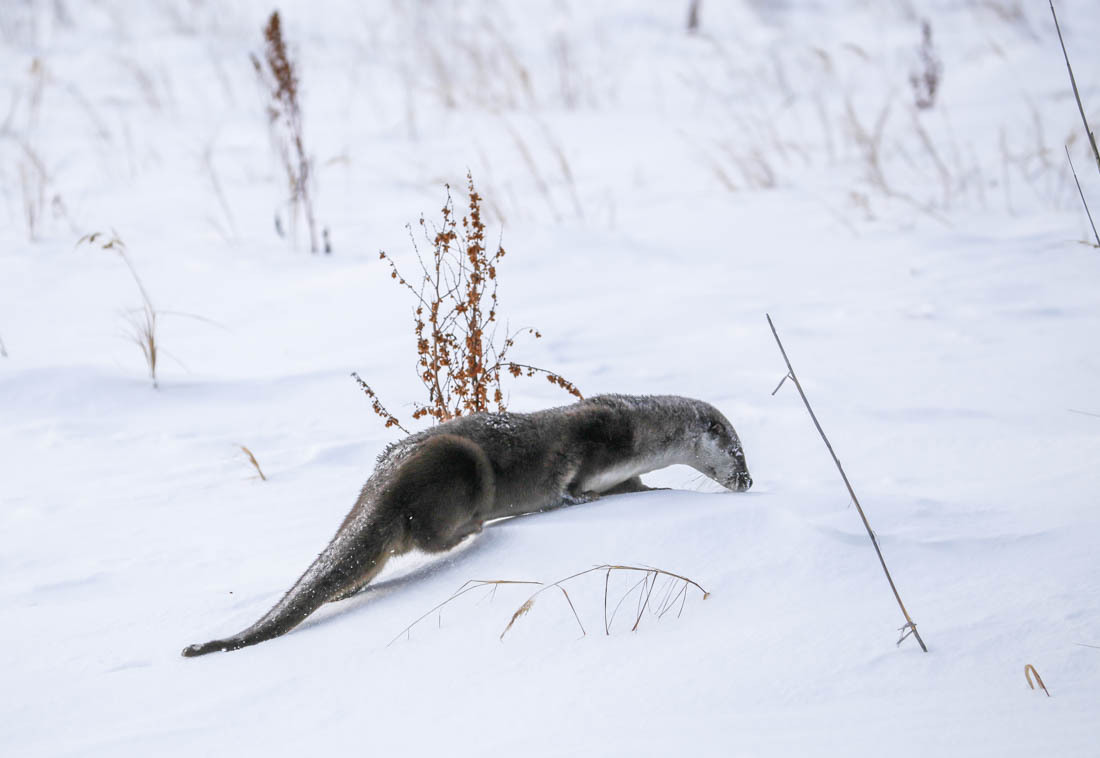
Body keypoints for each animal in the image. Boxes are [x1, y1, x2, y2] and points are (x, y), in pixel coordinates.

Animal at [182, 393, 748, 651]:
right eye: (739, 453)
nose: (746, 481)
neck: (635, 433)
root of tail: (377, 486)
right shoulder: (586, 436)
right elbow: (565, 477)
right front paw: (575, 501)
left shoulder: (622, 474)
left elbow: (637, 489)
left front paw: (662, 490)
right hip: (455, 462)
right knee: (429, 534)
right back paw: (475, 527)